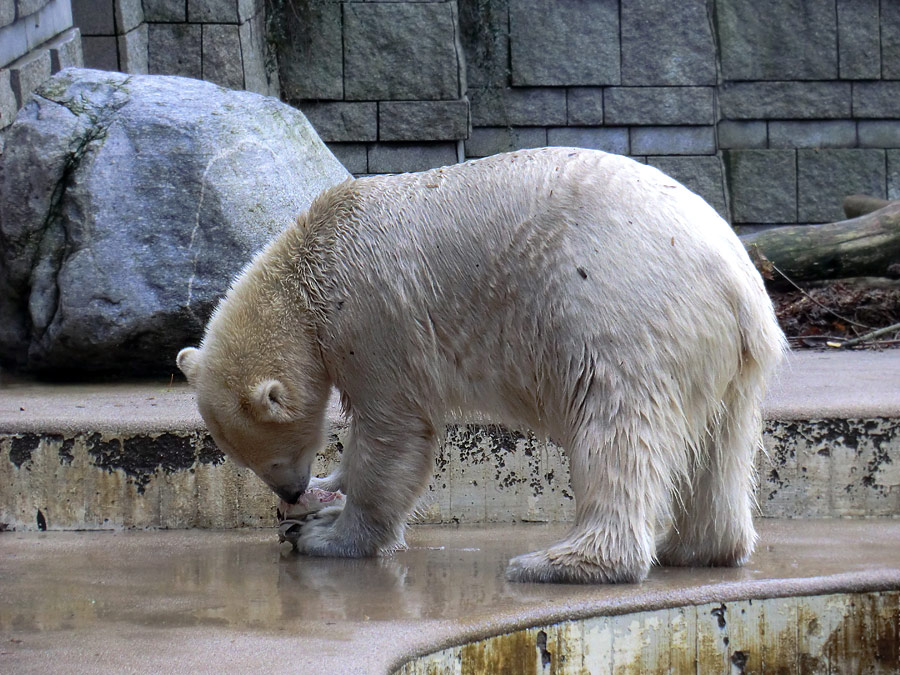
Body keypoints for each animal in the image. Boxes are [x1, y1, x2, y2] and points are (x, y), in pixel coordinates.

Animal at [178, 148, 788, 580]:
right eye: (246, 458)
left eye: (272, 458)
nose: (289, 494)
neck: (310, 263)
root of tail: (739, 282)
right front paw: (329, 493)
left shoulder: (371, 317)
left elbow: (394, 429)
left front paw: (327, 537)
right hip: (726, 356)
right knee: (721, 444)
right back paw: (697, 548)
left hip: (624, 310)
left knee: (615, 426)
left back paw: (561, 563)